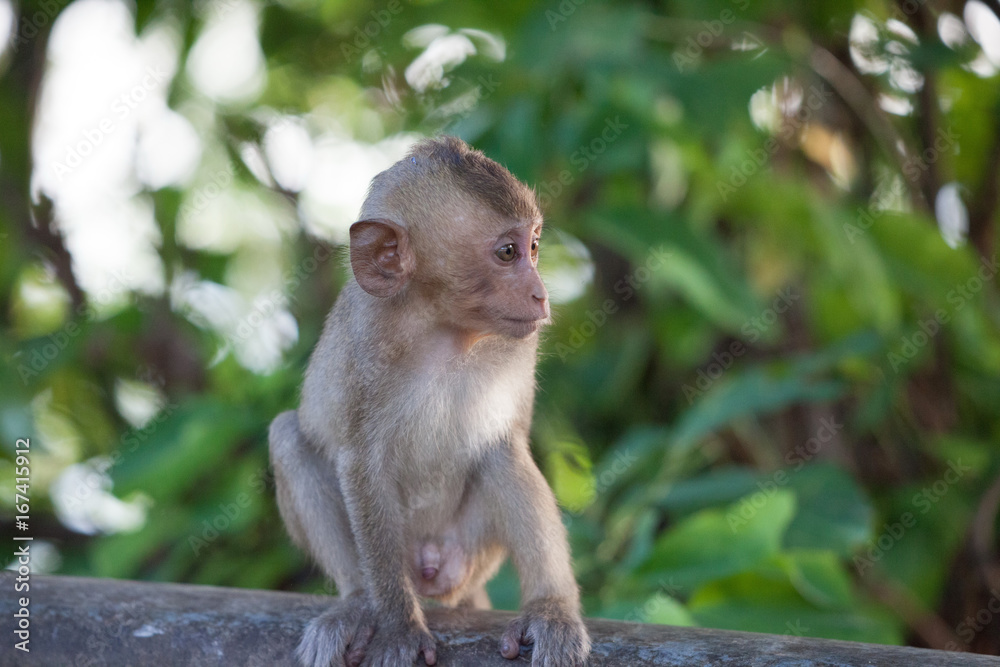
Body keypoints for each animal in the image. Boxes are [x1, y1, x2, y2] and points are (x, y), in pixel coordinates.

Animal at [270, 137, 588, 667]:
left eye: (534, 247)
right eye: (507, 253)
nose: (540, 295)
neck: (445, 331)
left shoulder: (518, 347)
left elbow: (507, 441)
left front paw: (553, 608)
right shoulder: (365, 345)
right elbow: (362, 464)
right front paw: (399, 626)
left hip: (470, 553)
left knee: (500, 455)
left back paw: (549, 609)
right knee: (288, 435)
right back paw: (358, 602)